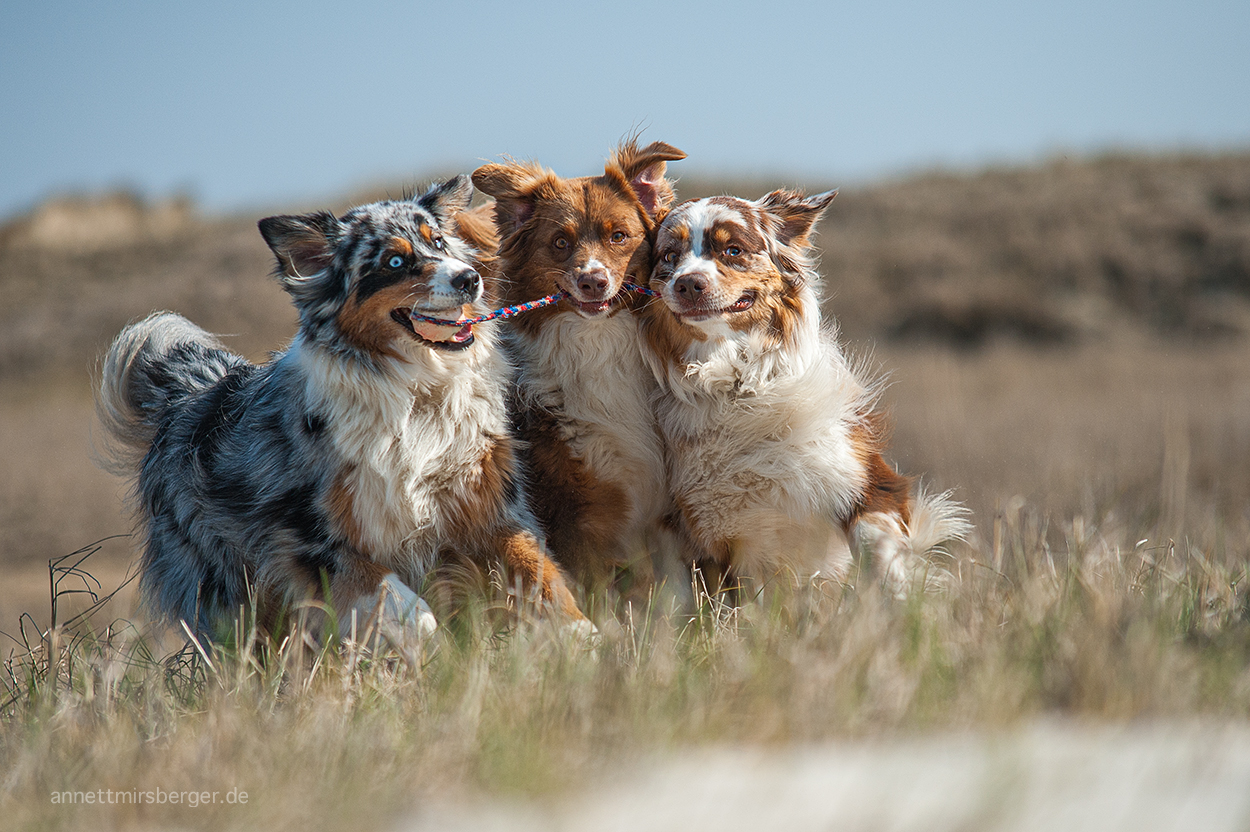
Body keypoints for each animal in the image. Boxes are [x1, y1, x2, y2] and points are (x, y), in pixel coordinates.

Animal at [475, 137, 695, 602]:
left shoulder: (661, 509)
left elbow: (674, 592)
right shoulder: (577, 516)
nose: (592, 281)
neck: (599, 344)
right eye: (560, 242)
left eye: (619, 236)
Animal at [640, 189, 970, 589]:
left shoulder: (869, 479)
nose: (688, 284)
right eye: (669, 256)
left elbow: (876, 542)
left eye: (733, 249)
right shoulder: (703, 533)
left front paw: (896, 595)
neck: (736, 383)